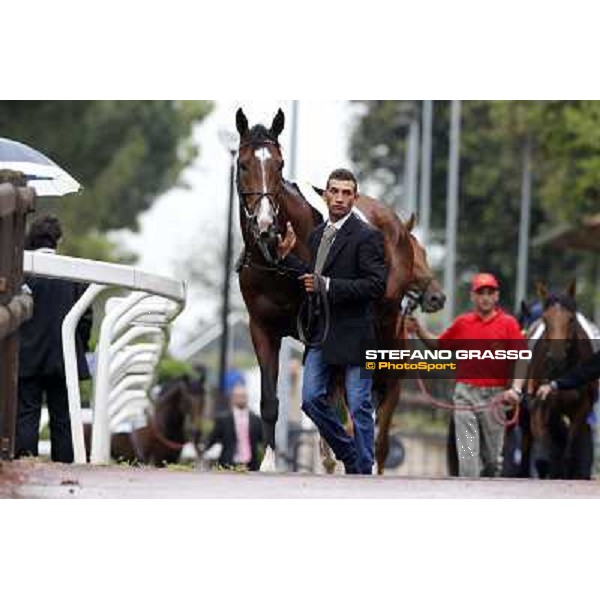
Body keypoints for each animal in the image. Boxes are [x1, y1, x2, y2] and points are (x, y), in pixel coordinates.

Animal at [234, 108, 446, 474]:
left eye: (279, 164)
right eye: (244, 164)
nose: (266, 226)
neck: (275, 264)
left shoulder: (318, 325)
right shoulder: (262, 327)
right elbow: (273, 399)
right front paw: (270, 462)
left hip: (384, 327)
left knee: (378, 399)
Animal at [524, 282, 596, 478]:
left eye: (571, 319)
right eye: (545, 319)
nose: (556, 357)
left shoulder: (582, 406)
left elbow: (569, 449)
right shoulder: (539, 400)